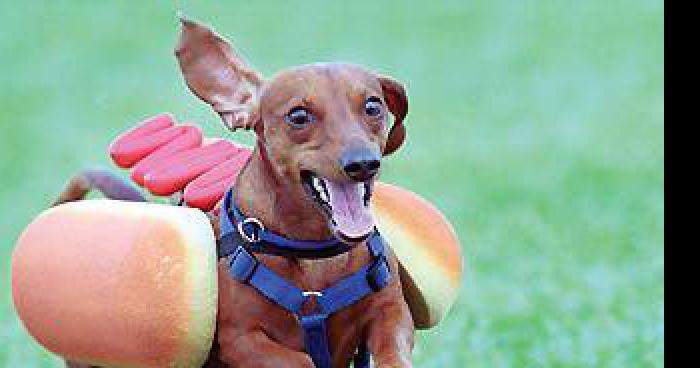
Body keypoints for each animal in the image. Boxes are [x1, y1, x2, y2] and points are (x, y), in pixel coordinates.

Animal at [61, 18, 416, 368]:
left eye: (373, 106)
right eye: (298, 116)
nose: (363, 164)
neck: (315, 253)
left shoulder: (392, 314)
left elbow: (392, 349)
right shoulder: (242, 340)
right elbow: (300, 361)